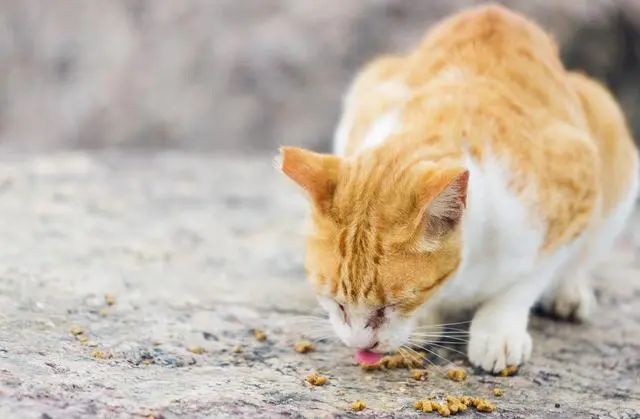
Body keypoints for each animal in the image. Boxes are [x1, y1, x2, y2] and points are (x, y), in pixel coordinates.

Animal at [278, 4, 636, 374]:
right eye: (337, 303)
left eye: (392, 305)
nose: (361, 346)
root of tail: (494, 9)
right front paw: (425, 324)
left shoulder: (573, 193)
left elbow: (524, 283)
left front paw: (497, 331)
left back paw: (569, 293)